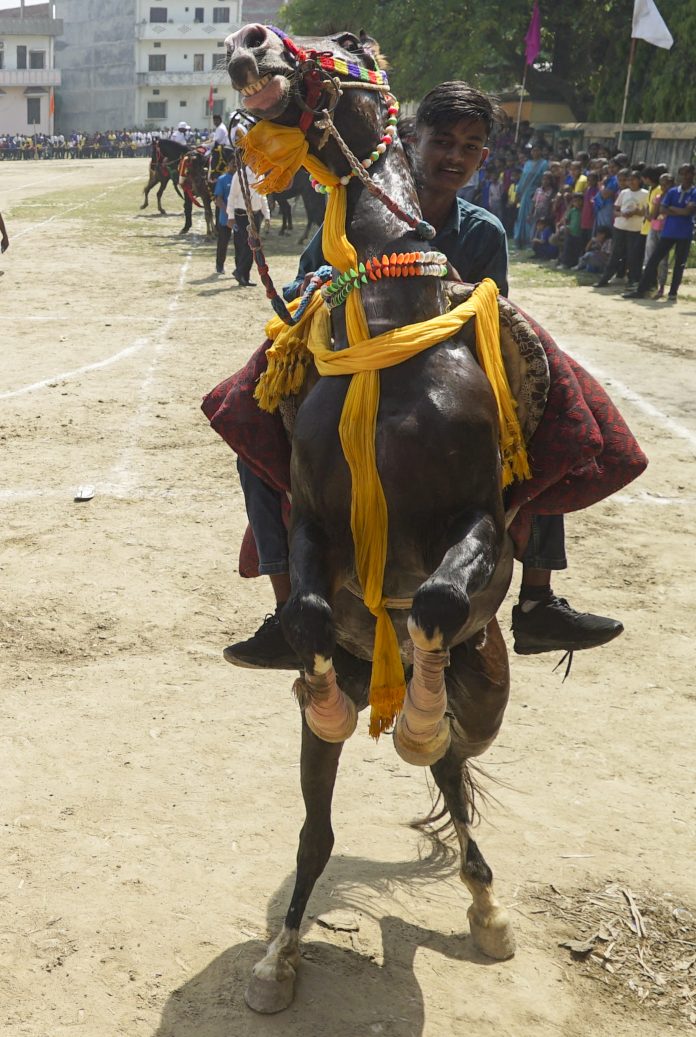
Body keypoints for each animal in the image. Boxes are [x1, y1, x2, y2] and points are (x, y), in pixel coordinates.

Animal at [225, 24, 518, 1013]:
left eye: (348, 45)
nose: (248, 41)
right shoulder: (315, 521)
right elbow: (313, 613)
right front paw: (314, 689)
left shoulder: (480, 524)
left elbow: (433, 601)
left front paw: (419, 712)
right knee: (321, 829)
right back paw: (279, 957)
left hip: (485, 683)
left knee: (456, 773)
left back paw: (488, 908)